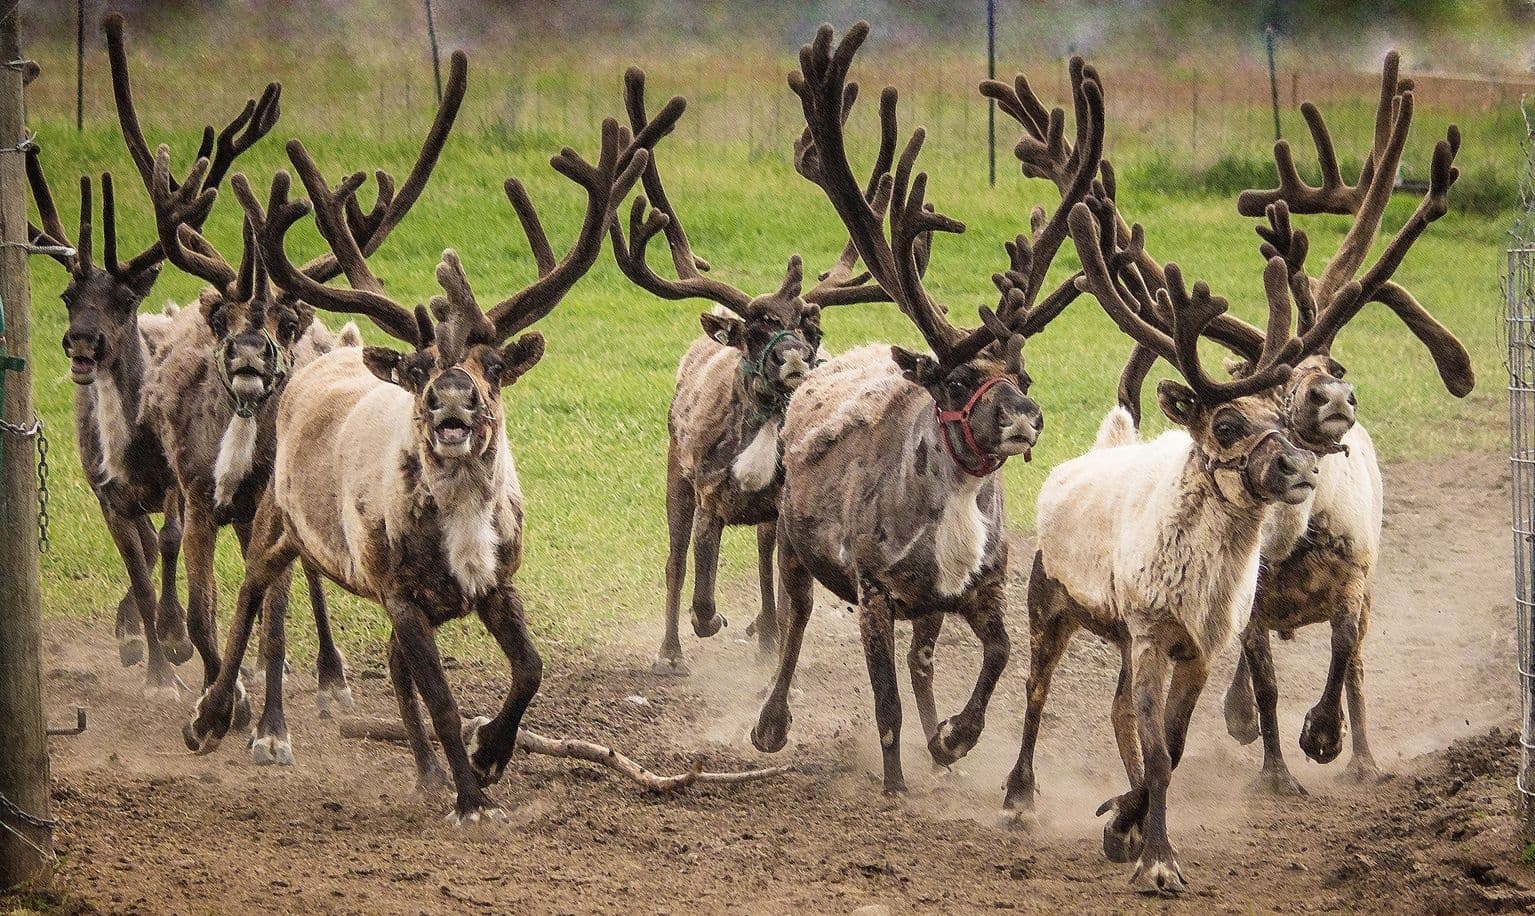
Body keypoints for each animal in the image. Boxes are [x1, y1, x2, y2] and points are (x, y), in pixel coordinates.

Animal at [21, 13, 280, 694]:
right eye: (67, 295)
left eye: (123, 298)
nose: (82, 342)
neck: (129, 439)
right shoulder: (106, 491)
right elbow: (137, 568)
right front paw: (160, 666)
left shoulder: (176, 482)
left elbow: (166, 546)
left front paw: (176, 641)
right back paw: (136, 634)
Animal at [180, 102, 666, 823]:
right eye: (416, 368)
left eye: (493, 364)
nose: (451, 397)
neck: (459, 517)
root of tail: (322, 359)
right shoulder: (399, 590)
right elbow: (440, 696)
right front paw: (473, 799)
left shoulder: (495, 580)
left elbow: (531, 668)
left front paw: (489, 753)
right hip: (278, 516)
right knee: (250, 590)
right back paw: (212, 717)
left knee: (386, 656)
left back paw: (427, 773)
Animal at [608, 68, 926, 675]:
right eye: (756, 329)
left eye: (813, 328)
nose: (797, 358)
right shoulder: (708, 491)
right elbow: (701, 583)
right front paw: (707, 625)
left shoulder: (779, 506)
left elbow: (776, 581)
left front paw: (769, 636)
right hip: (673, 471)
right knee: (675, 559)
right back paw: (671, 650)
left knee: (760, 563)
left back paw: (764, 632)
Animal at [748, 22, 1101, 795]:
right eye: (956, 376)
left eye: (1021, 369)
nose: (1025, 415)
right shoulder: (875, 588)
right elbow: (883, 703)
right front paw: (894, 785)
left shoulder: (979, 588)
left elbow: (999, 657)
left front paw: (956, 738)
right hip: (792, 538)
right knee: (796, 622)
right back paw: (770, 725)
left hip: (927, 608)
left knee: (923, 660)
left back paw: (938, 741)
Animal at [998, 188, 1325, 894]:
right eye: (1226, 423)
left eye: (1284, 419)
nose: (1303, 468)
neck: (1207, 581)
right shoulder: (1151, 634)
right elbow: (1156, 752)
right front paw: (1157, 860)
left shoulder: (1197, 647)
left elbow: (1168, 750)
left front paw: (1126, 828)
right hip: (1051, 608)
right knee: (1035, 695)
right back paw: (1018, 797)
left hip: (1121, 635)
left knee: (1119, 710)